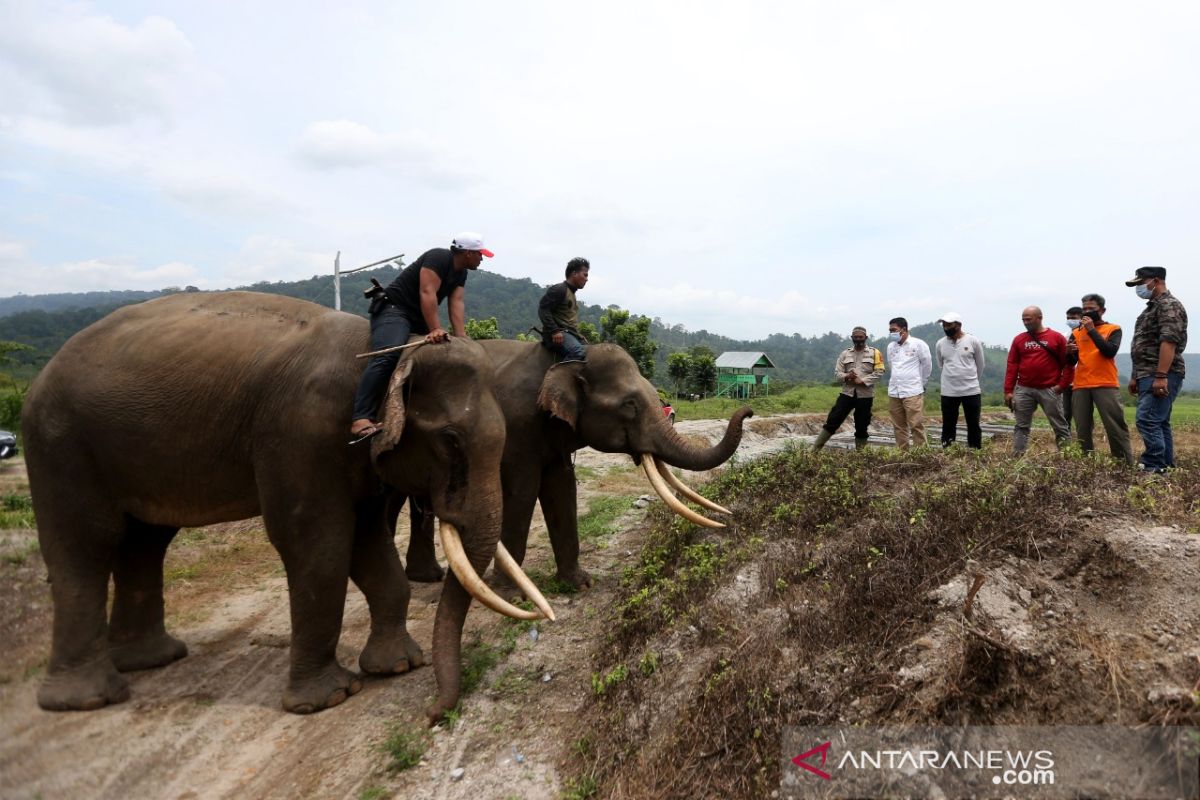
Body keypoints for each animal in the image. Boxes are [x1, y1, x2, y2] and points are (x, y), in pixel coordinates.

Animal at [23, 291, 549, 724]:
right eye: (451, 439)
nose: (432, 714)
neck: (391, 353)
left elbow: (368, 540)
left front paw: (398, 666)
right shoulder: (301, 434)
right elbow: (317, 544)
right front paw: (328, 699)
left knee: (144, 540)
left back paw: (152, 660)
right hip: (59, 444)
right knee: (85, 545)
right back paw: (87, 699)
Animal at [408, 340, 753, 592]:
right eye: (630, 405)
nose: (748, 411)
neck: (566, 363)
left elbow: (562, 489)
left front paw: (580, 585)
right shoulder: (516, 427)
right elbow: (522, 491)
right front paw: (507, 590)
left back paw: (427, 577)